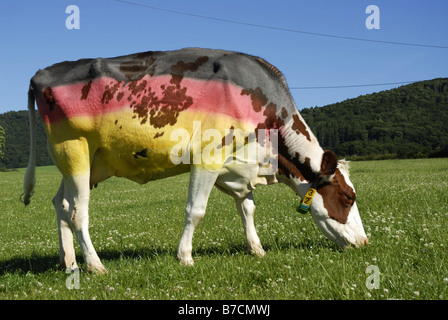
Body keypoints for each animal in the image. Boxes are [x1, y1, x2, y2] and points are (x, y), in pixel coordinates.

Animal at [21, 47, 368, 272]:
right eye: (348, 197)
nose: (365, 242)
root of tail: (41, 74)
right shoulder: (207, 158)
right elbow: (196, 210)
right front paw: (185, 256)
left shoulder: (236, 167)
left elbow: (247, 208)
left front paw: (256, 249)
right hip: (74, 150)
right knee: (77, 211)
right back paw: (95, 266)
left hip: (84, 163)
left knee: (60, 204)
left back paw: (69, 263)